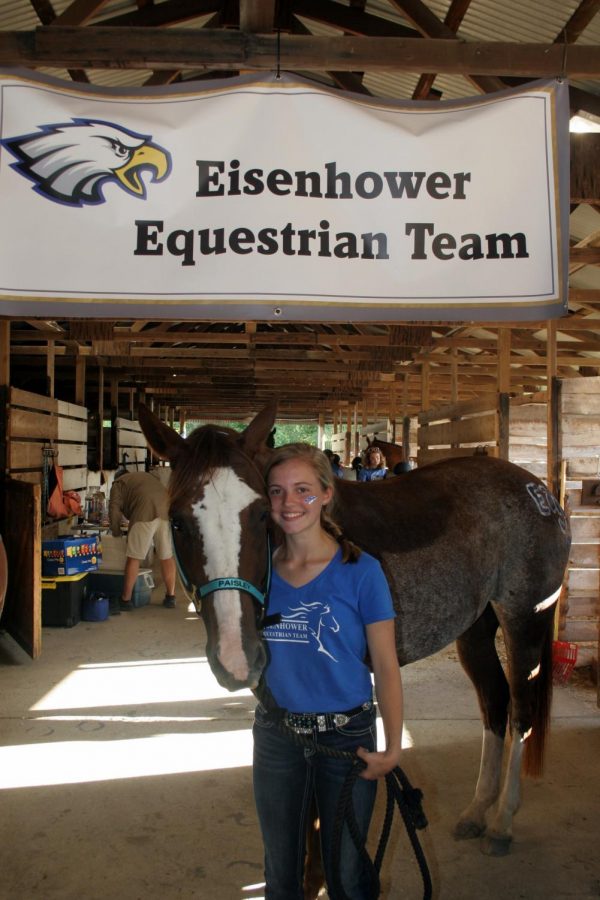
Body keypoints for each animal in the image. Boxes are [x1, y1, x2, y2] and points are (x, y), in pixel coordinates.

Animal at [141, 402, 572, 856]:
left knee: (520, 711)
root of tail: (539, 492)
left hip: (525, 619)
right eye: (177, 521)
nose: (237, 658)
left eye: (260, 514)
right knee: (495, 701)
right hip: (474, 630)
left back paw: (503, 820)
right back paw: (477, 810)